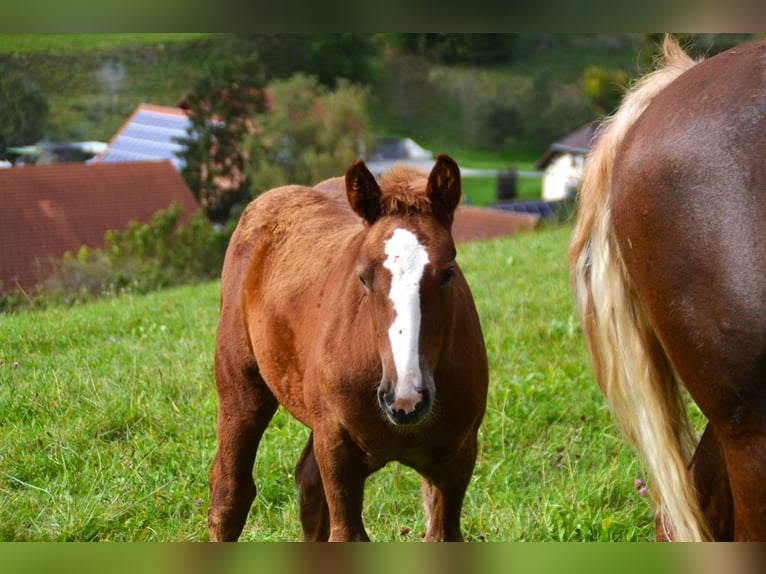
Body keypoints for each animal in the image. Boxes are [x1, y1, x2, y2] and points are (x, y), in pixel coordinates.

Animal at [207, 154, 488, 544]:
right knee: (230, 493)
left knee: (308, 484)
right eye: (363, 277)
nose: (405, 399)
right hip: (241, 387)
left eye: (448, 273)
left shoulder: (456, 457)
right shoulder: (338, 451)